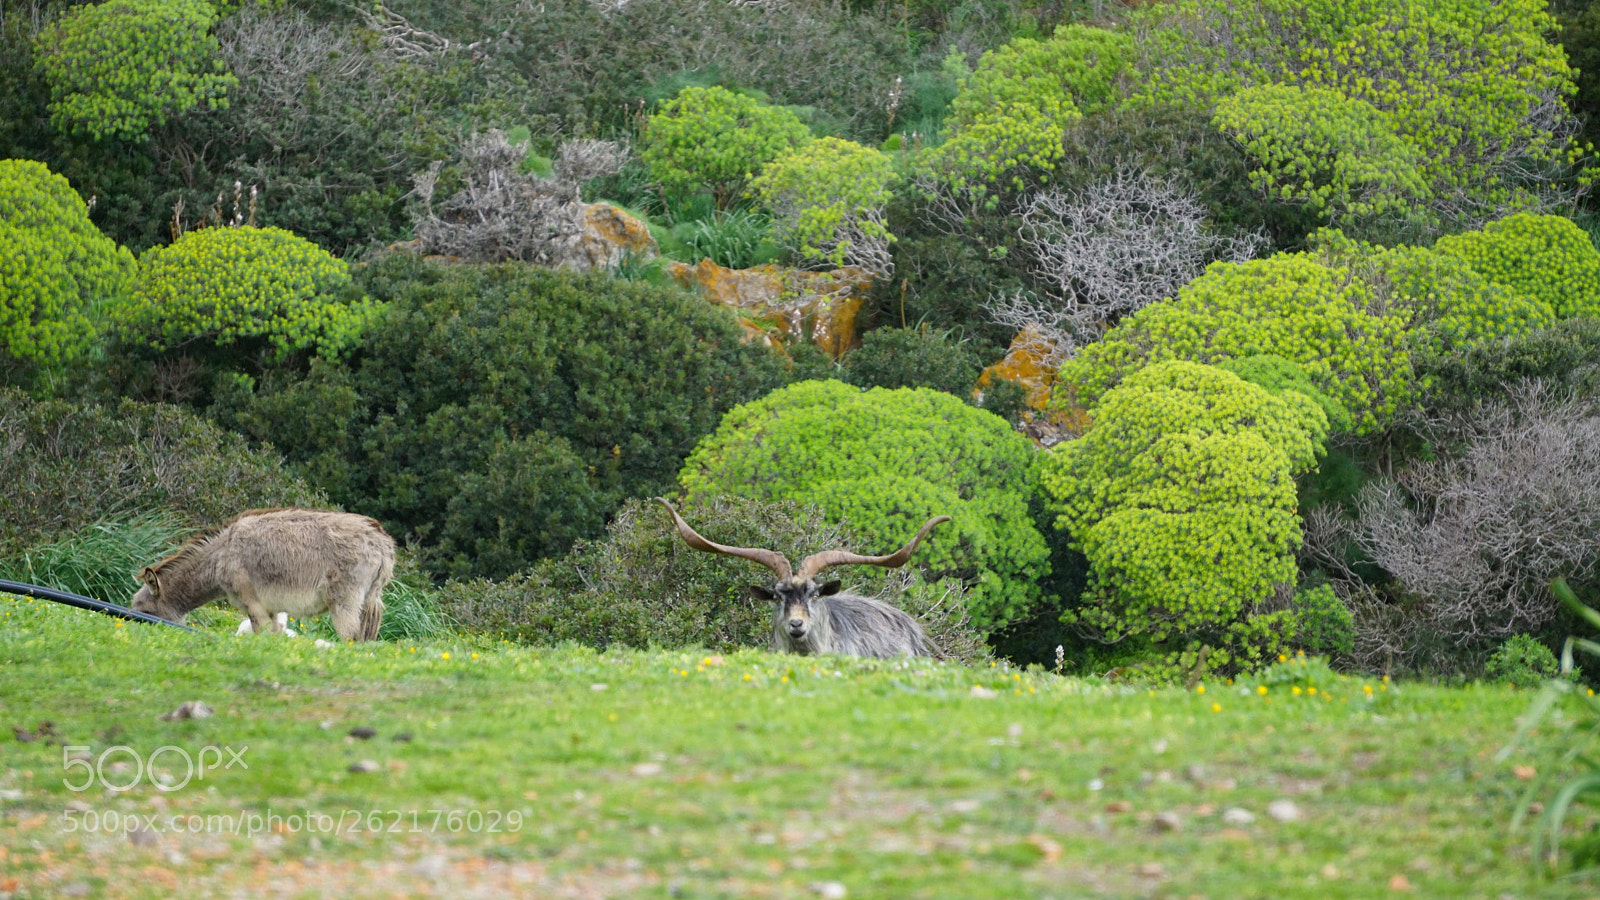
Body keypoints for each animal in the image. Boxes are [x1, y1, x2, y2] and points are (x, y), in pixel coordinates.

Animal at [129, 506, 395, 637]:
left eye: (145, 611)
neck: (220, 556)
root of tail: (382, 542)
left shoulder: (254, 606)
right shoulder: (274, 609)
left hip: (343, 603)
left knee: (350, 638)